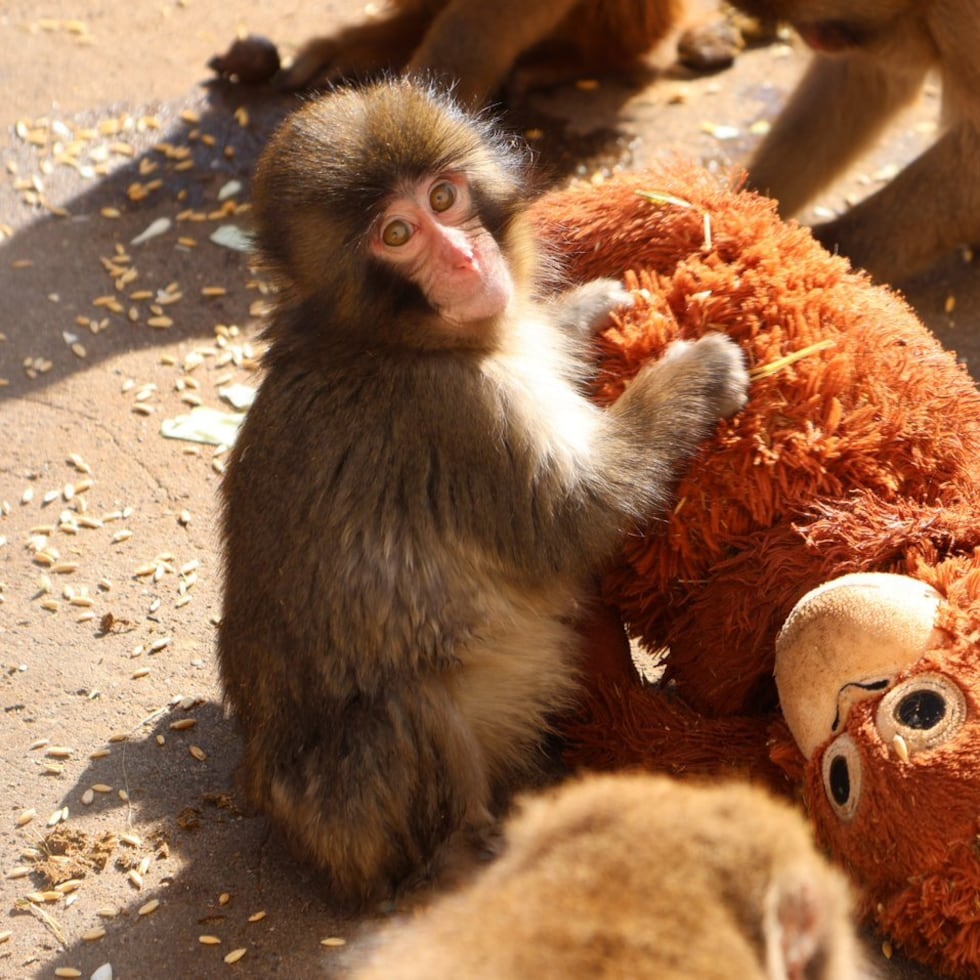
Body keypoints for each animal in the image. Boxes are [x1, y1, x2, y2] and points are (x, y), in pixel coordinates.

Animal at [217, 78, 748, 907]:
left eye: (444, 197)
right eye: (397, 234)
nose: (466, 258)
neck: (390, 339)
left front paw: (584, 310)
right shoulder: (457, 415)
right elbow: (577, 517)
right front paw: (694, 376)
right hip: (355, 812)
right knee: (407, 710)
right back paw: (469, 856)